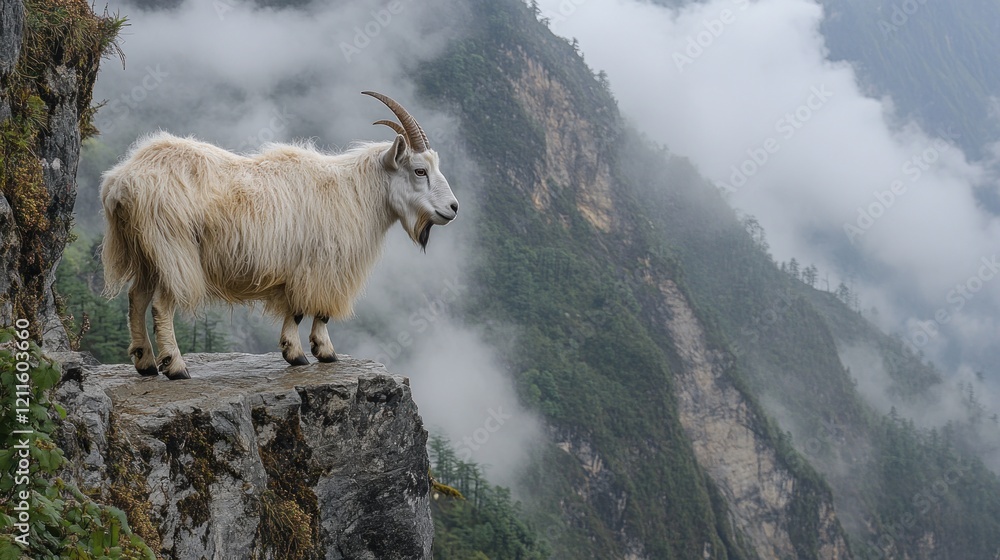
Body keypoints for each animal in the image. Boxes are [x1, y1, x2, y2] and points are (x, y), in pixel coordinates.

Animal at [101, 92, 459, 379]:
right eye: (420, 170)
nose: (453, 208)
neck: (354, 191)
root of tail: (122, 182)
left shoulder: (299, 268)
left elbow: (297, 309)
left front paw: (297, 353)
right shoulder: (320, 265)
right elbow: (311, 311)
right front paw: (316, 352)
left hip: (145, 251)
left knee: (136, 298)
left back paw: (145, 363)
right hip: (173, 249)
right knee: (161, 305)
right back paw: (175, 367)